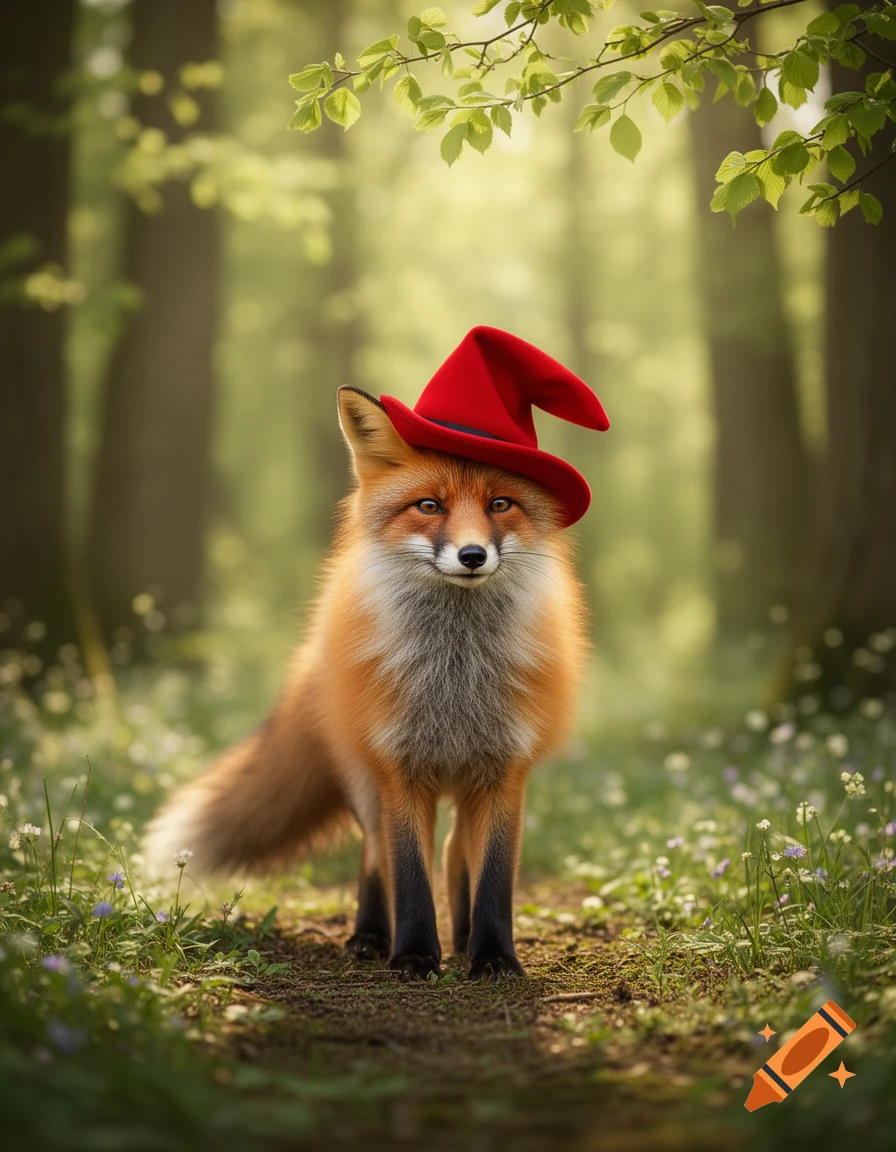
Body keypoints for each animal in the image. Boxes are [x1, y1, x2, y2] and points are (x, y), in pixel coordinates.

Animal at [144, 385, 589, 980]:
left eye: (500, 504)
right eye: (429, 506)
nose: (473, 555)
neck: (455, 676)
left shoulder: (505, 771)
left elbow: (494, 876)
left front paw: (494, 956)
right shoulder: (398, 769)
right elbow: (409, 874)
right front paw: (415, 955)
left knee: (454, 849)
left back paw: (463, 937)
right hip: (364, 782)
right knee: (376, 855)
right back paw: (371, 937)